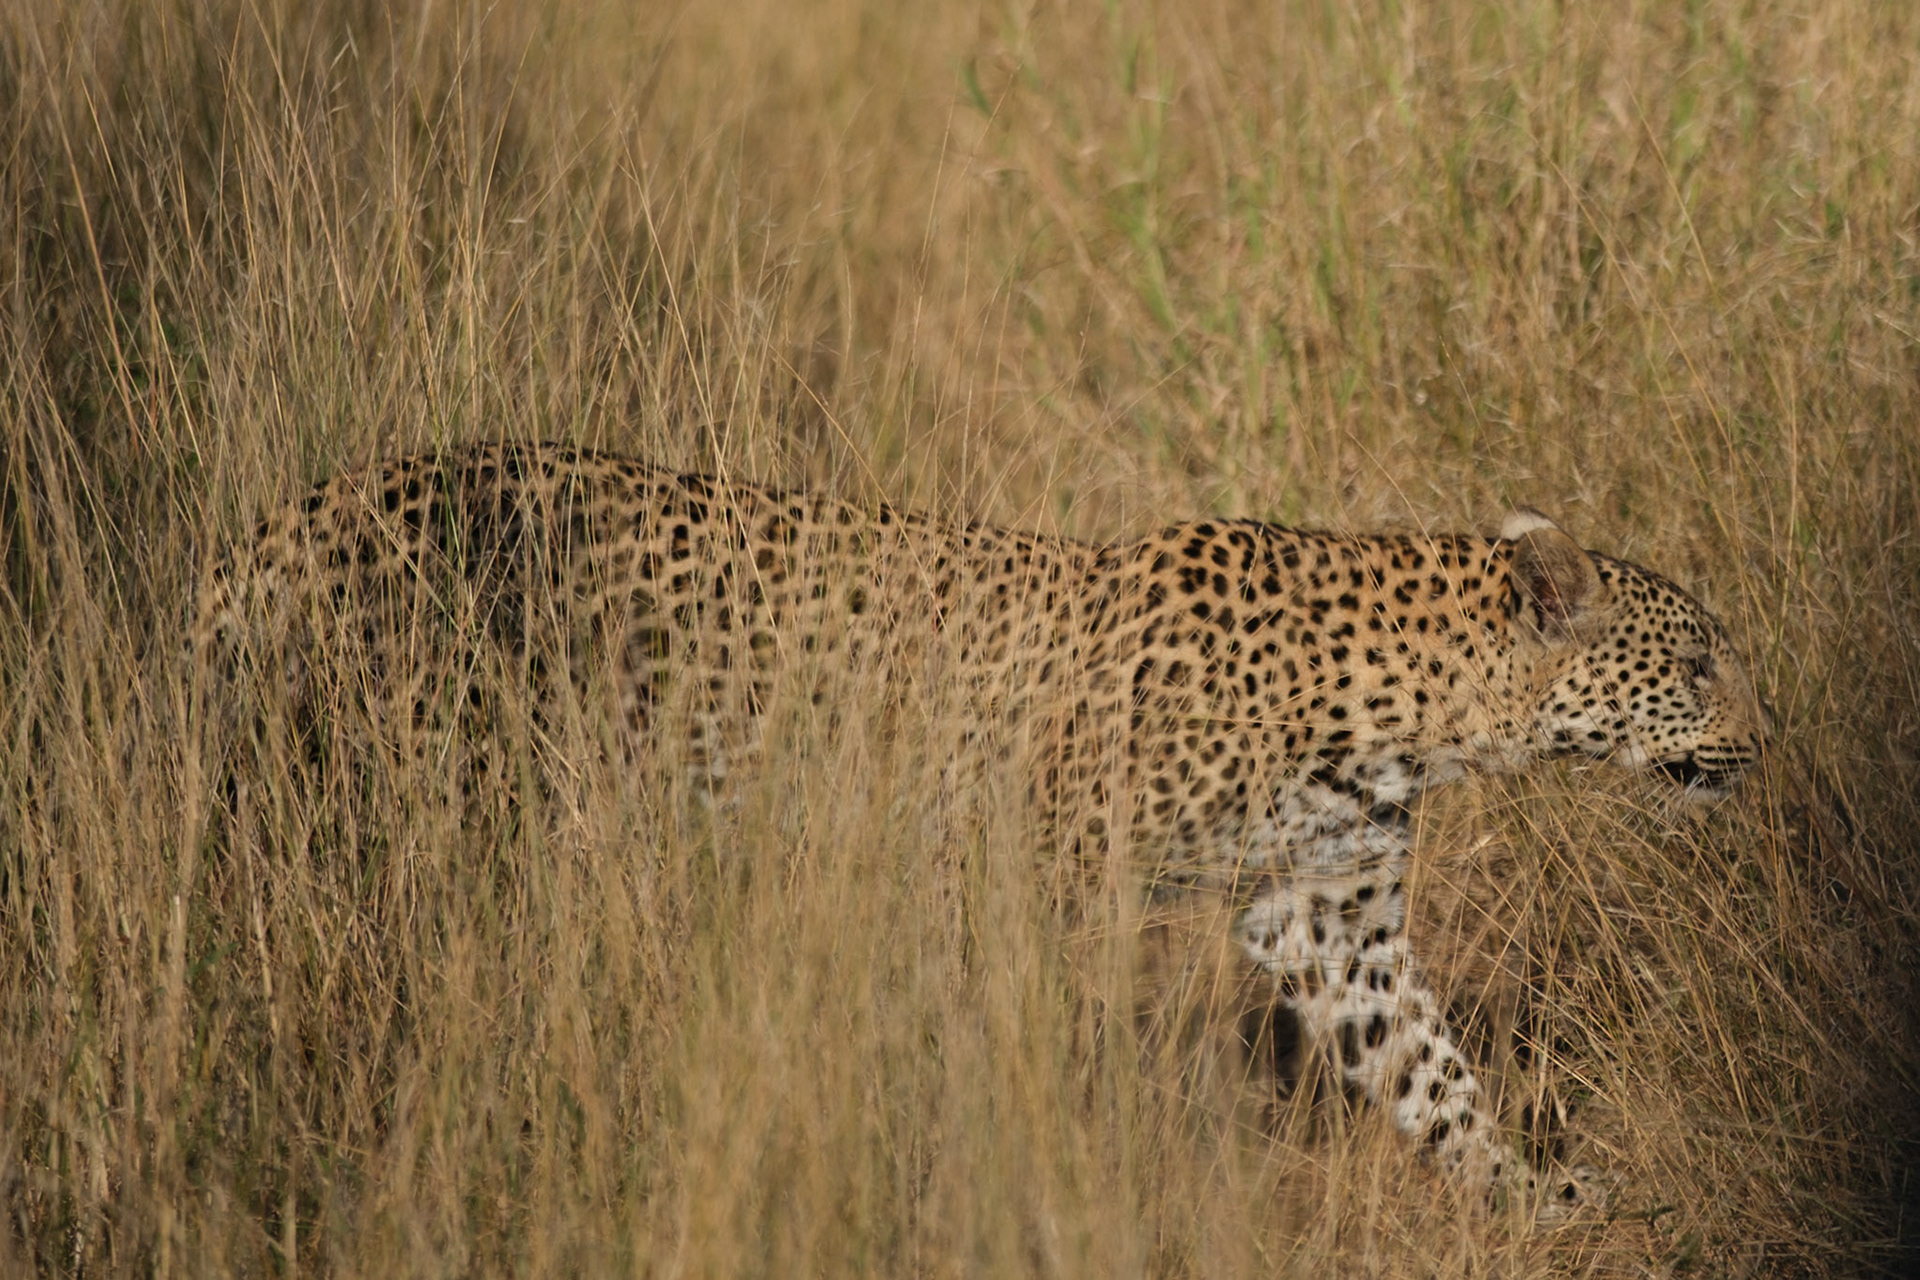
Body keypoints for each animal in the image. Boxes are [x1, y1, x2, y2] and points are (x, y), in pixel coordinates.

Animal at [191, 440, 1769, 1225]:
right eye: (1696, 665)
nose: (1762, 742)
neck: (1404, 714)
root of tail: (280, 522)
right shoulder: (1013, 866)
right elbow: (982, 1028)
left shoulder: (1332, 916)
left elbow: (1433, 1074)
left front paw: (1531, 1195)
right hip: (426, 791)